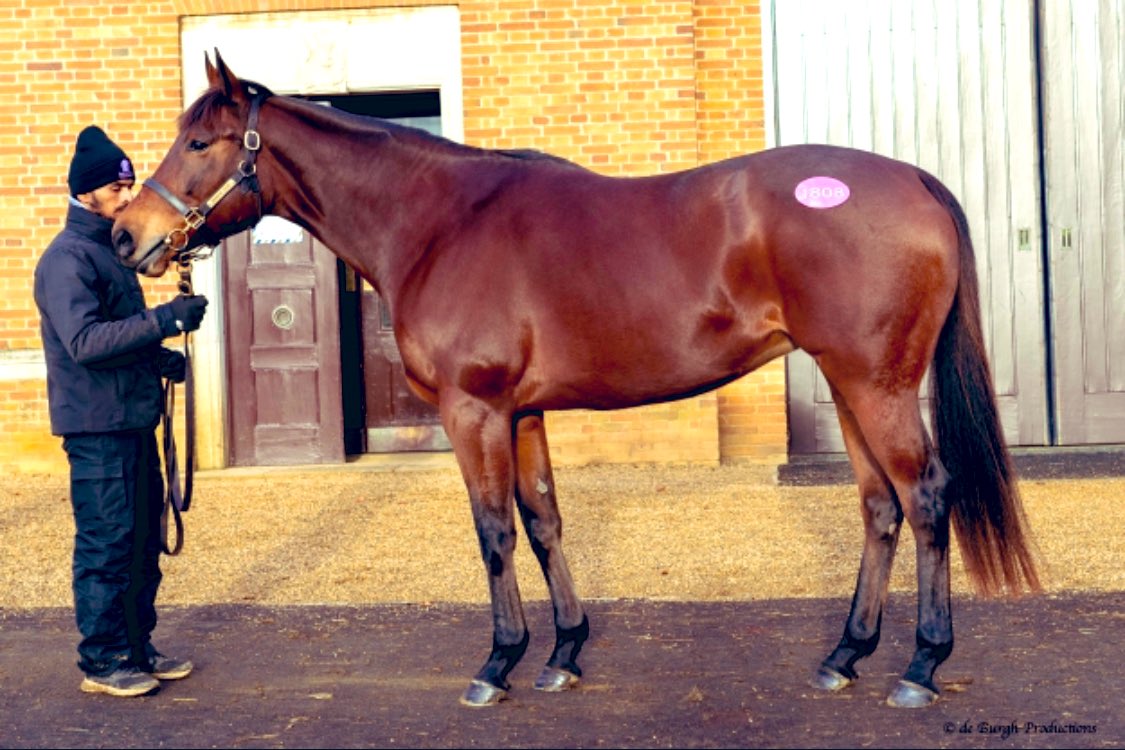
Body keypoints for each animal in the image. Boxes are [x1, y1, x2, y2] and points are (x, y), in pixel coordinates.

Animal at [113, 52, 1040, 709]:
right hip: (850, 386)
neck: (439, 223)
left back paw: (919, 665)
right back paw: (844, 656)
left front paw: (497, 662)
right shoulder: (521, 415)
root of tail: (913, 179)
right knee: (879, 508)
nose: (128, 236)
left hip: (877, 386)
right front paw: (562, 652)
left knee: (925, 497)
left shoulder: (474, 412)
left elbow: (492, 531)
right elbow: (543, 522)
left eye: (199, 142)